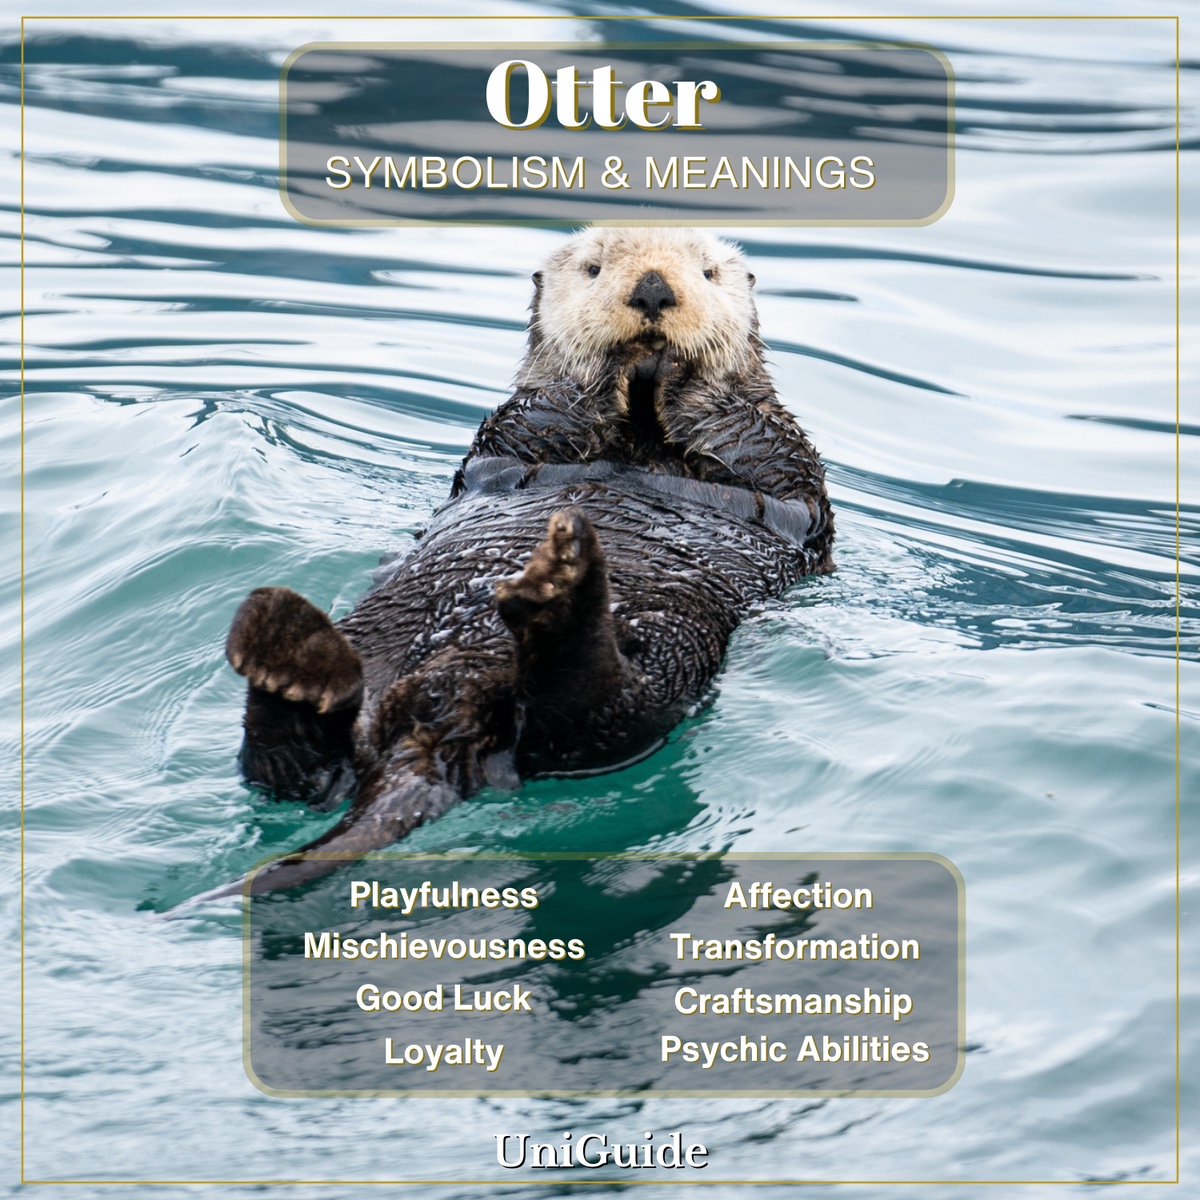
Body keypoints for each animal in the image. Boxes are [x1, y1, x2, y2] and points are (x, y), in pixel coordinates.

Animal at [218, 228, 833, 896]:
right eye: (593, 269)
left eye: (709, 272)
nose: (652, 290)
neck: (641, 431)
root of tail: (443, 714)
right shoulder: (512, 441)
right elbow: (546, 414)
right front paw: (612, 370)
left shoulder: (785, 469)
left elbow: (752, 447)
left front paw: (682, 373)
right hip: (376, 648)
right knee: (293, 769)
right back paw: (288, 651)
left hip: (663, 664)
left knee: (590, 712)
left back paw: (555, 591)